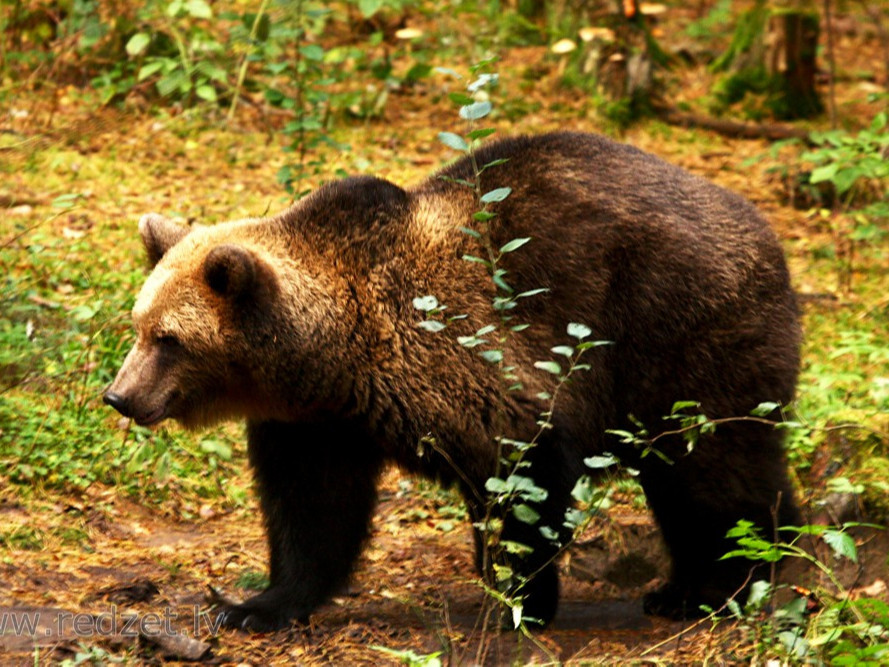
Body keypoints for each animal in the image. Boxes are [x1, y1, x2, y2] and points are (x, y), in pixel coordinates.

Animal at [106, 130, 804, 632]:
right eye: (139, 325)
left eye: (170, 339)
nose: (120, 396)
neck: (333, 357)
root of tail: (766, 234)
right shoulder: (315, 423)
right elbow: (312, 512)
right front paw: (254, 604)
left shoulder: (468, 364)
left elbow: (523, 483)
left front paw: (519, 599)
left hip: (679, 333)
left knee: (712, 467)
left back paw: (723, 584)